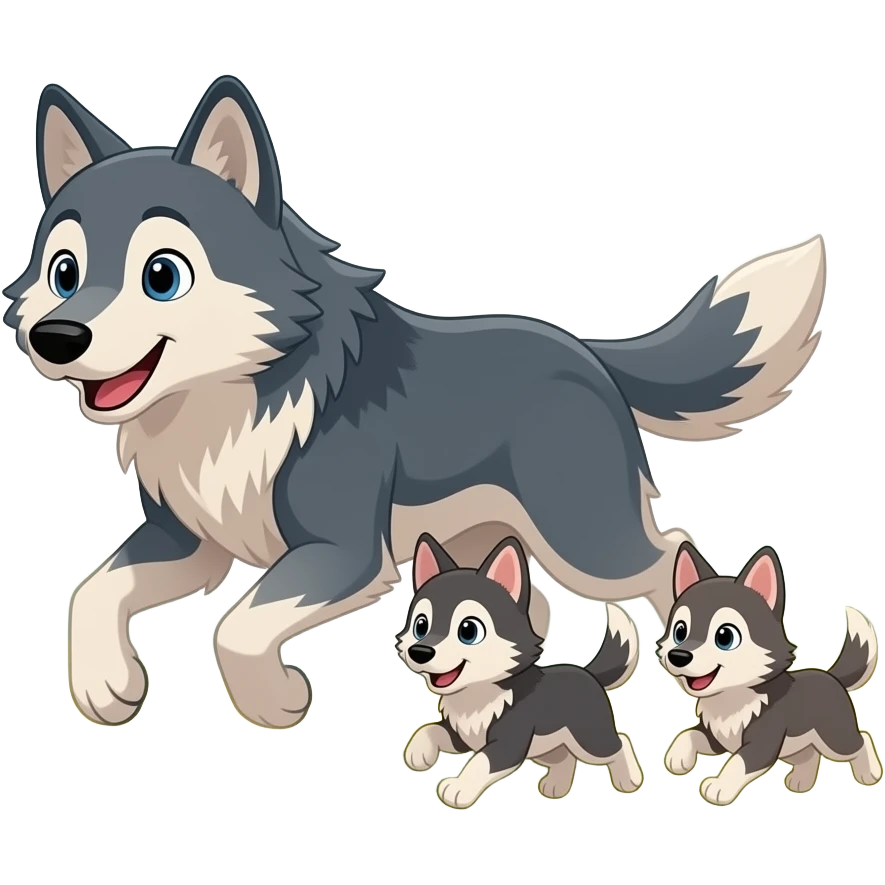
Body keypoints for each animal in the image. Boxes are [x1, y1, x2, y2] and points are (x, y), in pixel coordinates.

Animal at [4, 75, 827, 731]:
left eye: (162, 275)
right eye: (64, 270)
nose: (57, 337)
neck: (234, 397)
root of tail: (587, 351)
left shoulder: (342, 551)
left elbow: (235, 626)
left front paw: (274, 701)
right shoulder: (190, 537)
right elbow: (93, 589)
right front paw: (107, 689)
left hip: (586, 538)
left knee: (666, 558)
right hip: (487, 540)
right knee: (530, 608)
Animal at [397, 533, 644, 808]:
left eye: (468, 631)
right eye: (420, 626)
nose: (420, 651)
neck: (477, 694)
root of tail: (587, 673)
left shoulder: (508, 743)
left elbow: (481, 761)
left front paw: (458, 788)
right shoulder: (460, 735)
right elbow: (430, 729)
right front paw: (417, 752)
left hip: (589, 738)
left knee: (618, 744)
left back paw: (630, 779)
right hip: (549, 747)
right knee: (565, 757)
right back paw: (556, 786)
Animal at [658, 542, 883, 807]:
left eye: (725, 637)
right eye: (679, 631)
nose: (679, 655)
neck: (731, 699)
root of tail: (830, 676)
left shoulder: (762, 743)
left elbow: (739, 762)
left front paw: (719, 787)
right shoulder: (715, 737)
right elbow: (688, 735)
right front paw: (677, 757)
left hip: (834, 737)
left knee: (861, 740)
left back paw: (870, 773)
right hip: (798, 746)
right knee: (810, 755)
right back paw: (801, 782)